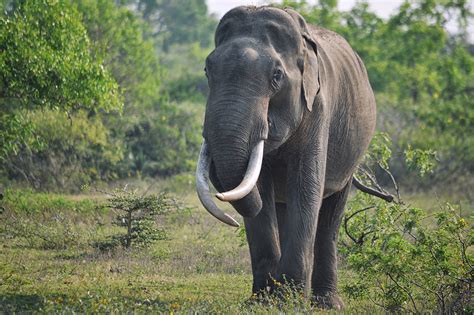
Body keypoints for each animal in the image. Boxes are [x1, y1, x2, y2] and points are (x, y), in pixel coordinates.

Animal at [194, 5, 386, 312]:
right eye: (207, 70)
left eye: (276, 76)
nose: (232, 219)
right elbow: (260, 189)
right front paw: (262, 301)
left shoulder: (318, 107)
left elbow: (305, 187)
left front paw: (289, 302)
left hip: (352, 152)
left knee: (331, 216)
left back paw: (326, 303)